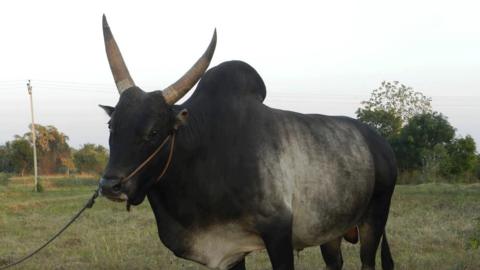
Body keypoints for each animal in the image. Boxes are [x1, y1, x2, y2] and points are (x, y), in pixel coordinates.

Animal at [98, 15, 398, 270]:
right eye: (112, 126)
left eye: (154, 132)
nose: (110, 186)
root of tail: (379, 142)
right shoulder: (230, 251)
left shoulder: (278, 234)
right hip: (331, 229)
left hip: (375, 215)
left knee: (368, 261)